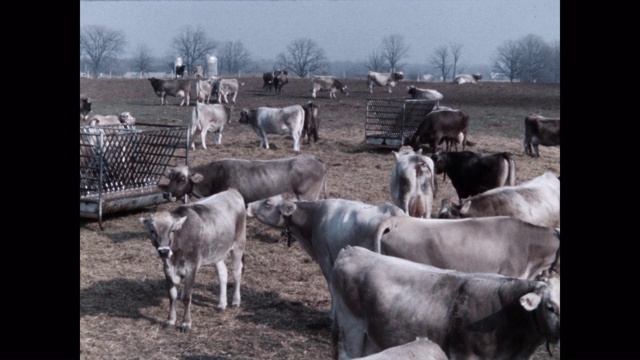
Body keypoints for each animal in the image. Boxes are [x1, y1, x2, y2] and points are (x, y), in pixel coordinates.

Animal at [139, 188, 246, 332]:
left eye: (172, 230)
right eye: (152, 231)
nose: (164, 251)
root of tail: (232, 191)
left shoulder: (192, 266)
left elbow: (186, 297)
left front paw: (185, 323)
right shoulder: (167, 268)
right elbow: (172, 296)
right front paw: (170, 320)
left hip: (239, 243)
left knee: (236, 272)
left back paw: (235, 301)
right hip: (216, 251)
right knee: (222, 273)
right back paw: (222, 304)